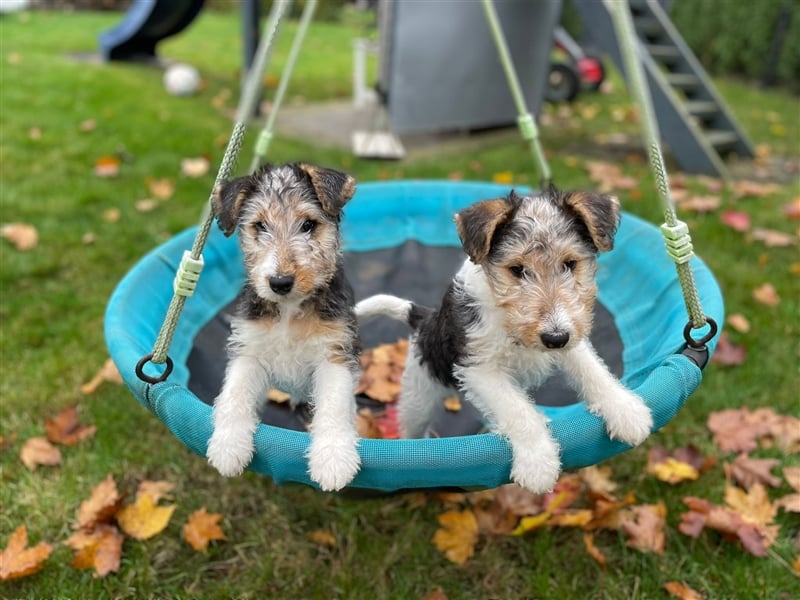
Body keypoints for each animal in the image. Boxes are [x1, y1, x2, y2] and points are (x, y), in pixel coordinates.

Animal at [208, 162, 364, 490]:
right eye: (259, 226)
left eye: (308, 225)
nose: (280, 282)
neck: (290, 311)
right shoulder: (249, 350)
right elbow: (234, 394)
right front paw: (228, 447)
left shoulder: (335, 353)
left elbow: (334, 405)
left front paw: (333, 459)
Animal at [360, 190, 652, 494]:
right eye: (516, 269)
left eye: (570, 264)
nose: (554, 338)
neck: (509, 323)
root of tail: (424, 318)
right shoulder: (479, 368)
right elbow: (518, 409)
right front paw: (538, 462)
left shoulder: (572, 338)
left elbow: (593, 371)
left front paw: (626, 411)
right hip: (419, 395)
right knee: (413, 426)